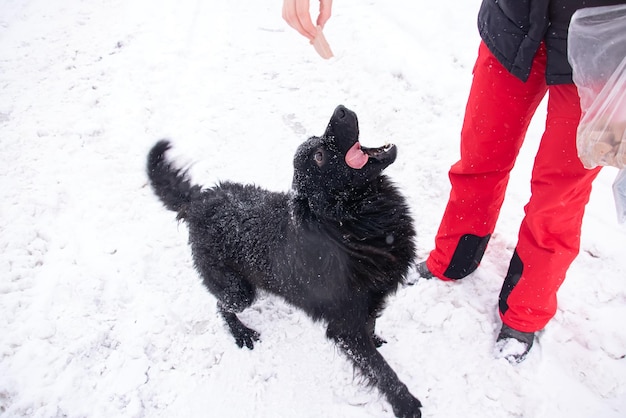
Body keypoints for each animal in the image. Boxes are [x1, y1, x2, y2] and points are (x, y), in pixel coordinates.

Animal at [146, 105, 420, 418]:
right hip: (238, 291)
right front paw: (405, 403)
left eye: (317, 142)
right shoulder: (344, 326)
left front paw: (376, 340)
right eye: (319, 156)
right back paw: (241, 333)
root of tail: (200, 201)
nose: (340, 110)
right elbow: (378, 369)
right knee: (221, 305)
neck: (347, 226)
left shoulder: (371, 300)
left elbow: (372, 327)